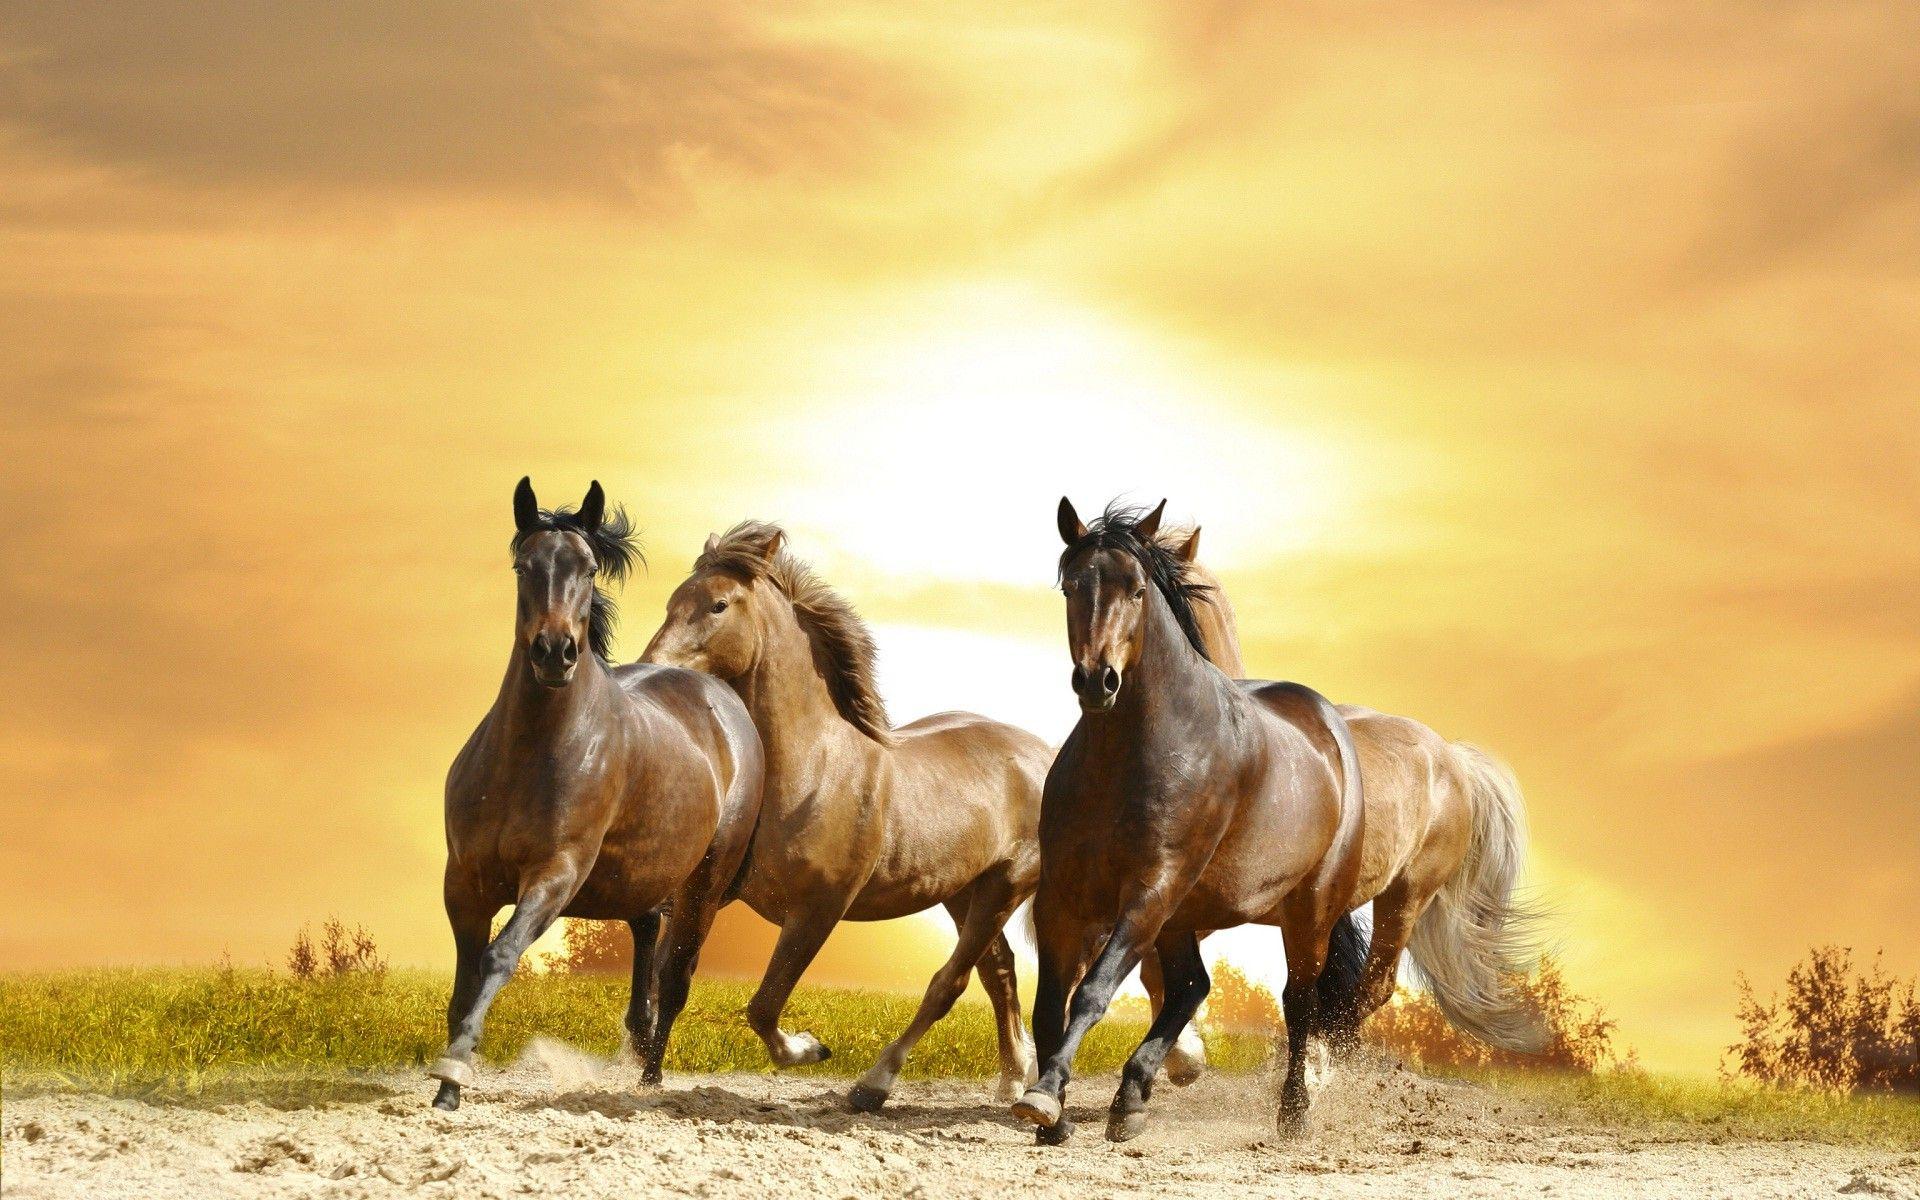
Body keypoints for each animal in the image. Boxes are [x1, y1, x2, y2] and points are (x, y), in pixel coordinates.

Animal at [427, 478, 763, 1111]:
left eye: (587, 568)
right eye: (523, 565)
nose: (554, 652)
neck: (528, 755)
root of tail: (721, 698)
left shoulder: (556, 873)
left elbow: (498, 957)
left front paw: (454, 1071)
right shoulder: (463, 881)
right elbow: (464, 980)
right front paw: (446, 1083)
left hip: (704, 885)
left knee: (676, 979)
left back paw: (650, 1080)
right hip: (641, 877)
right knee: (647, 945)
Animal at [641, 523, 1049, 1112]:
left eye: (718, 604)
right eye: (673, 600)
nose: (653, 667)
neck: (812, 770)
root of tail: (1043, 754)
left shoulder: (819, 909)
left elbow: (763, 1006)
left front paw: (810, 1048)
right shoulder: (706, 891)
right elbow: (672, 978)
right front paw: (644, 1075)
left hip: (1004, 887)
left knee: (949, 983)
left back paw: (873, 1085)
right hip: (963, 893)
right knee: (999, 972)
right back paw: (1014, 1076)